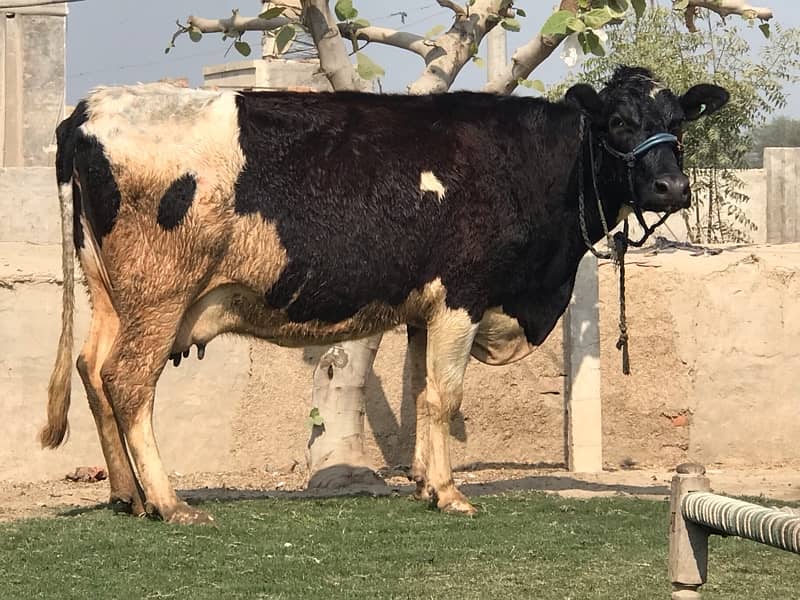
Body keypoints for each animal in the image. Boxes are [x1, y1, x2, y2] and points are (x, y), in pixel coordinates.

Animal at [42, 65, 732, 524]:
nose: (672, 188)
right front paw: (450, 494)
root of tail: (90, 109)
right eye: (618, 122)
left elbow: (423, 390)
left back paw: (126, 496)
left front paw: (426, 482)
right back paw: (168, 503)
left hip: (110, 292)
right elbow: (444, 395)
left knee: (91, 369)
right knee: (128, 380)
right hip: (159, 294)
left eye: (677, 123)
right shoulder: (461, 294)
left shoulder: (427, 309)